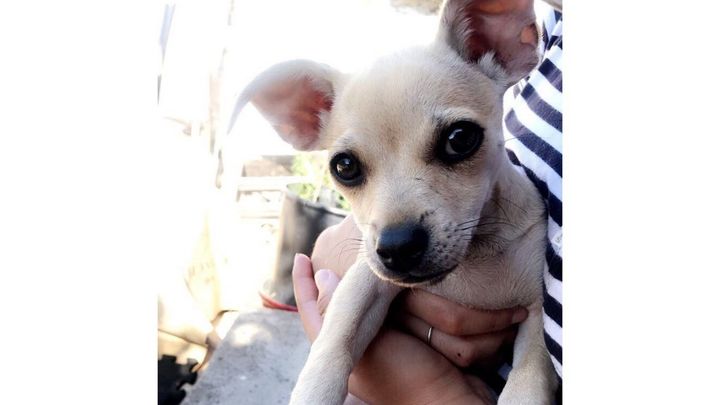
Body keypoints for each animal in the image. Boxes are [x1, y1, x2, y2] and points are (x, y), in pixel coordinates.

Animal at [227, 0, 558, 403]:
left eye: (460, 138)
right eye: (345, 167)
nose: (398, 247)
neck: (474, 258)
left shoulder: (536, 319)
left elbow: (526, 382)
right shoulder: (365, 282)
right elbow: (336, 342)